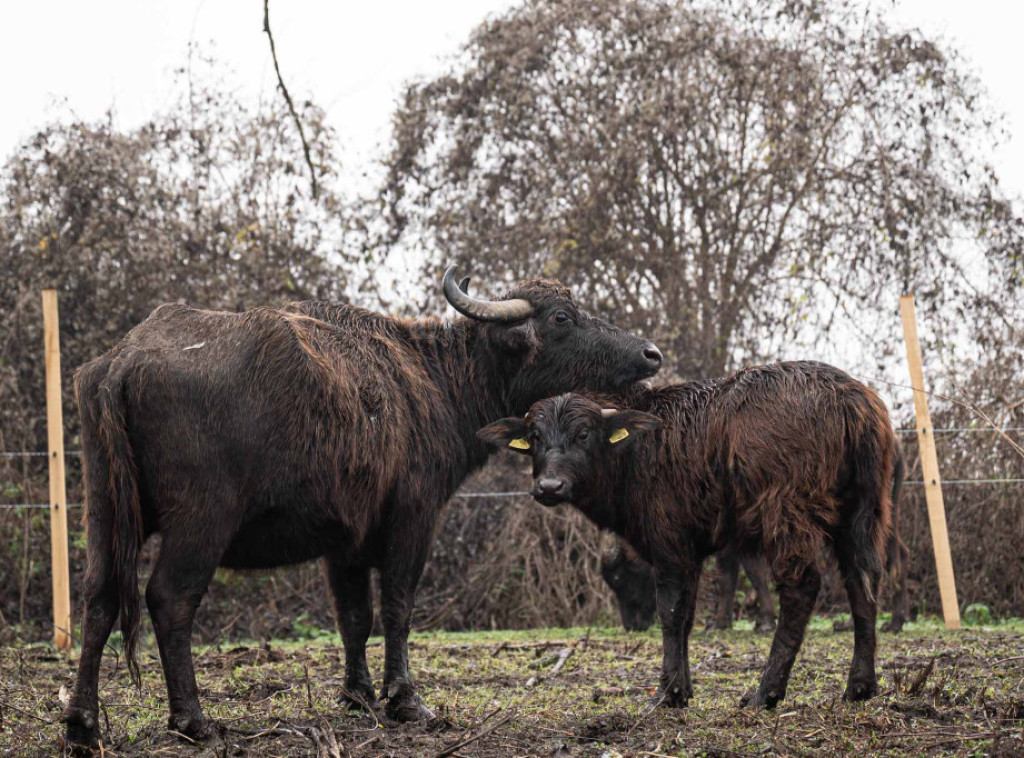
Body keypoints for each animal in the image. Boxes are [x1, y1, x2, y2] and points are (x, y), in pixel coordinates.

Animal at [64, 264, 659, 745]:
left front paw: (357, 695)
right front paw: (405, 699)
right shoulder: (414, 516)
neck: (432, 380)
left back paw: (82, 723)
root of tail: (123, 361)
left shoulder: (343, 538)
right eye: (562, 317)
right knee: (169, 599)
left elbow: (354, 616)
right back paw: (193, 720)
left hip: (104, 510)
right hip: (201, 520)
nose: (650, 354)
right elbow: (397, 606)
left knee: (98, 597)